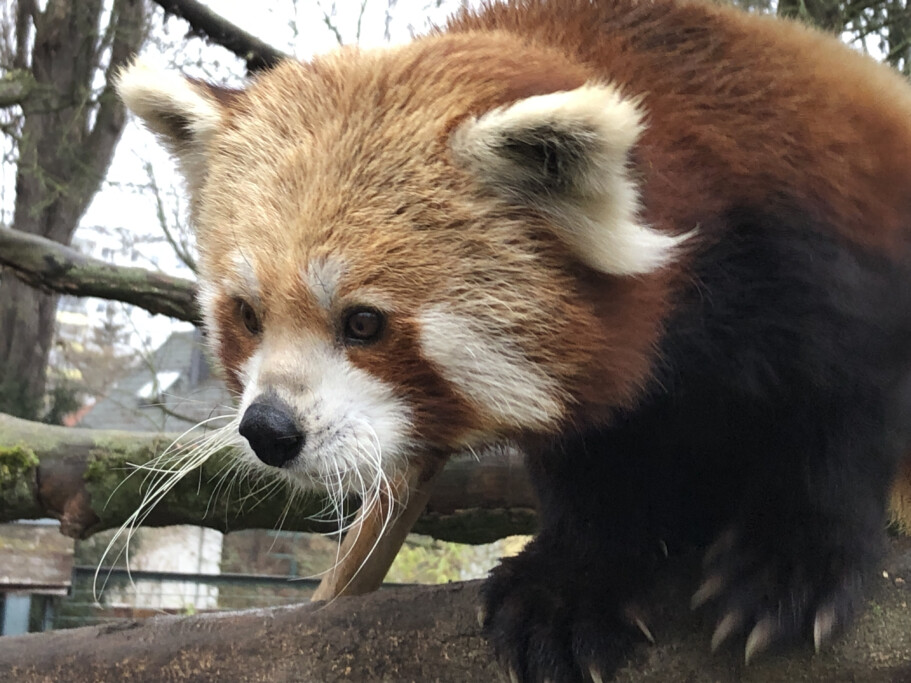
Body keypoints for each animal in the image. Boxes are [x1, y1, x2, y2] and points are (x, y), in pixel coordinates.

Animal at [117, 0, 911, 680]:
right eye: (249, 315)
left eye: (364, 322)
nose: (270, 430)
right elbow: (595, 463)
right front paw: (570, 584)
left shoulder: (810, 232)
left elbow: (844, 406)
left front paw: (791, 559)